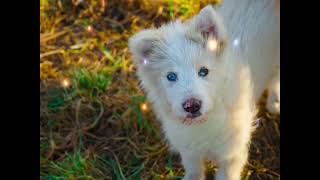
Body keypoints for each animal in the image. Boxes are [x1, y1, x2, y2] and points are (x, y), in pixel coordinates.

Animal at [129, 0, 278, 179]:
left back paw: (274, 104)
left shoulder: (232, 156)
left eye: (204, 71)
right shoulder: (189, 152)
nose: (192, 106)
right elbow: (194, 171)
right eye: (171, 76)